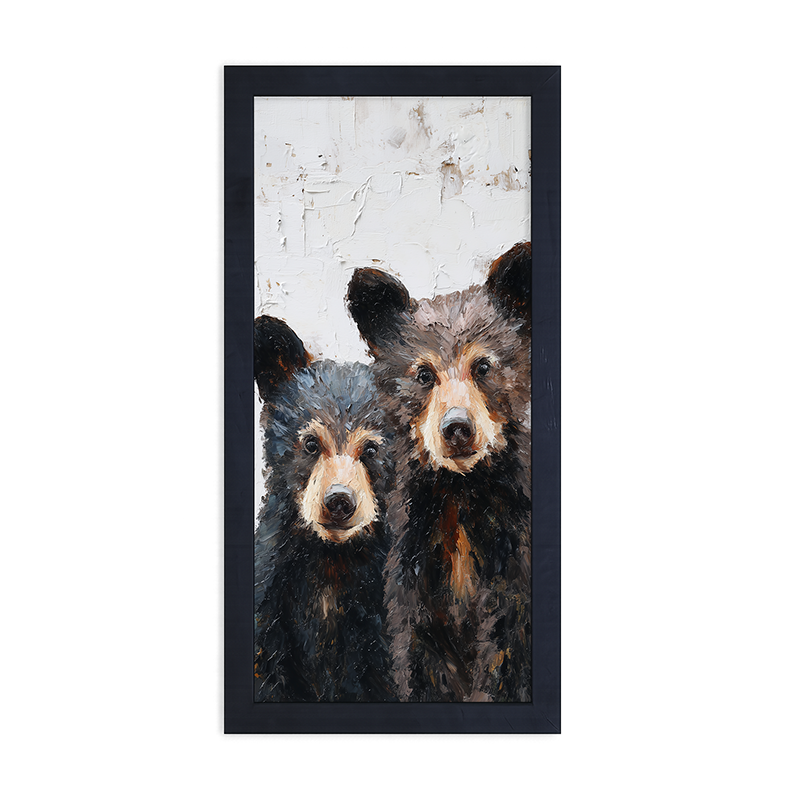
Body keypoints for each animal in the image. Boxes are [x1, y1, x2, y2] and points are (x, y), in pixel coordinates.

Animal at [346, 242, 532, 702]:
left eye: (483, 366)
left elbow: (506, 650)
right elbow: (419, 656)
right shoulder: (414, 564)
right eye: (424, 373)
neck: (460, 491)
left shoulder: (513, 552)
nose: (457, 428)